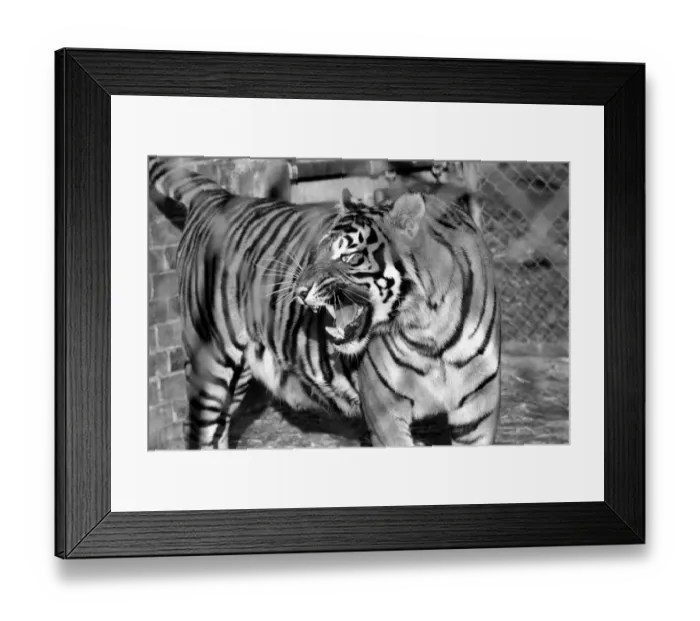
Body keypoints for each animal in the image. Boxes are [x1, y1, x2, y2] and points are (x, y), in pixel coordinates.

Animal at [148, 157, 501, 449]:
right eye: (317, 251)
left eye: (350, 257)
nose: (299, 290)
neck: (428, 331)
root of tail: (220, 196)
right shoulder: (385, 412)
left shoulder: (477, 414)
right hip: (211, 359)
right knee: (199, 428)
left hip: (240, 373)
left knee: (217, 427)